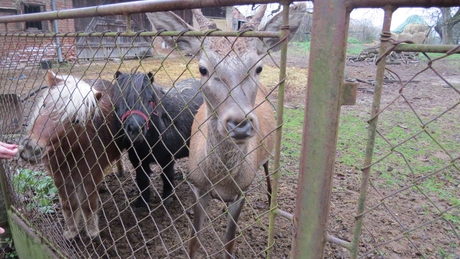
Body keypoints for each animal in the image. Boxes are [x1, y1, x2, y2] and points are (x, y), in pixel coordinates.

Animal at [112, 71, 202, 209]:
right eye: (121, 100)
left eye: (150, 101)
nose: (135, 129)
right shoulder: (137, 159)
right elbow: (142, 179)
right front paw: (142, 202)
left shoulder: (168, 158)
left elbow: (167, 176)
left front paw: (168, 197)